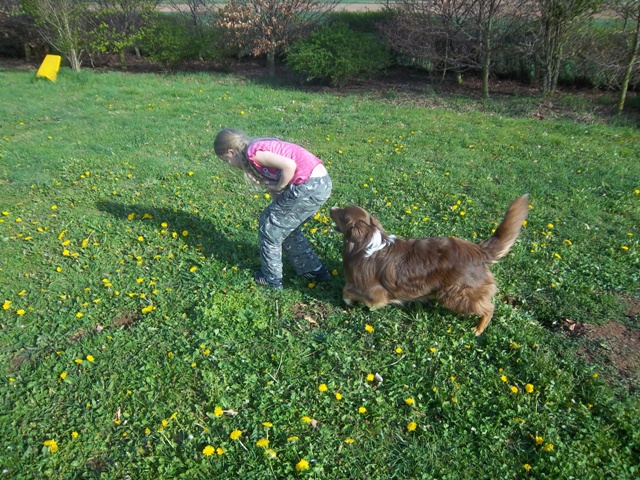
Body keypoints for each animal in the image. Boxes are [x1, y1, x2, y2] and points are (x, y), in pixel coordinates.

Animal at [330, 195, 530, 335]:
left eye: (341, 214)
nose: (331, 206)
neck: (365, 243)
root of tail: (477, 250)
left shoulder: (376, 295)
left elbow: (347, 290)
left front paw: (348, 301)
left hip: (455, 294)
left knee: (488, 309)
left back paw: (478, 329)